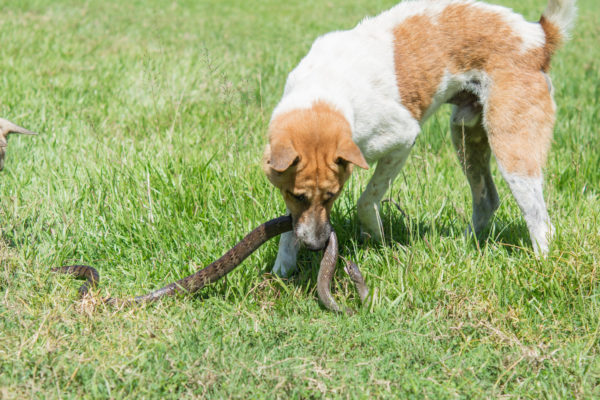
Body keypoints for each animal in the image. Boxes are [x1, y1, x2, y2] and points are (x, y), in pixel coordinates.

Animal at [262, 0, 576, 276]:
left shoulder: (401, 139)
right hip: (465, 137)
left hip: (511, 146)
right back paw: (462, 246)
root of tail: (538, 37)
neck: (324, 93)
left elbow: (366, 200)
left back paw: (541, 266)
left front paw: (376, 237)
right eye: (295, 195)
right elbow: (291, 226)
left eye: (333, 195)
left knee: (540, 221)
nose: (316, 247)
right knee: (487, 200)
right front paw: (283, 268)